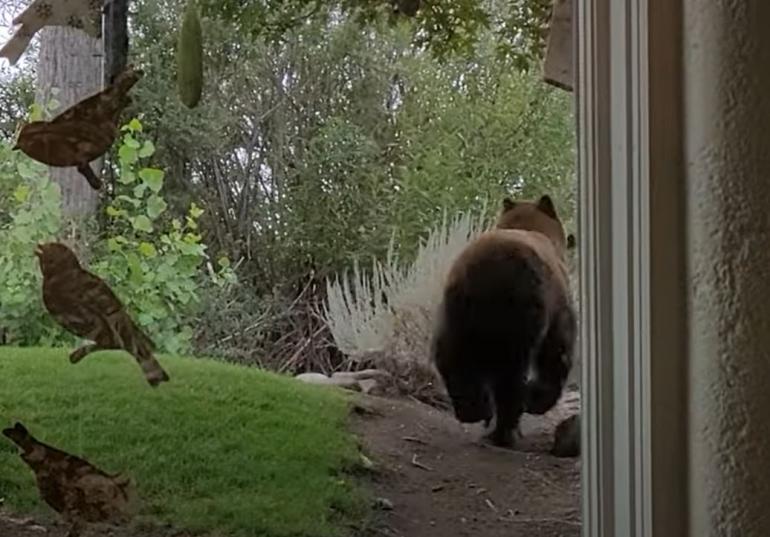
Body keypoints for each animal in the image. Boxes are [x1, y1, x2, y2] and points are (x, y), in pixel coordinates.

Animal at [428, 195, 572, 446]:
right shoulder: (557, 301)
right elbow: (558, 350)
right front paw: (536, 401)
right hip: (521, 310)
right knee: (510, 373)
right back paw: (504, 431)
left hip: (455, 307)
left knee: (449, 354)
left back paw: (474, 410)